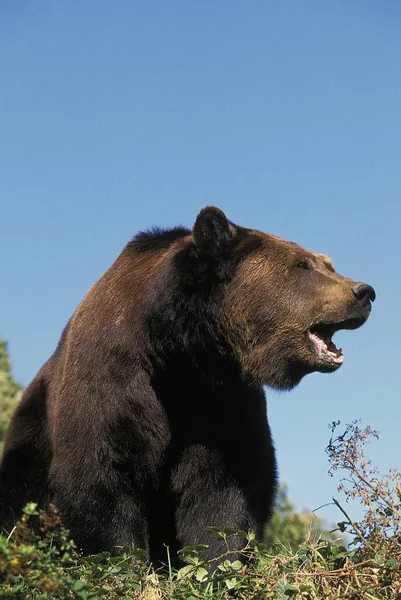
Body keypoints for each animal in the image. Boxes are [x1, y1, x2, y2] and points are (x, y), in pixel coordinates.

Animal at [0, 207, 376, 564]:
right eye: (302, 265)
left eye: (328, 264)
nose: (364, 292)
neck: (180, 354)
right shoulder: (115, 383)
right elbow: (101, 475)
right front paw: (126, 563)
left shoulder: (221, 401)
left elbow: (224, 490)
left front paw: (215, 563)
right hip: (32, 433)